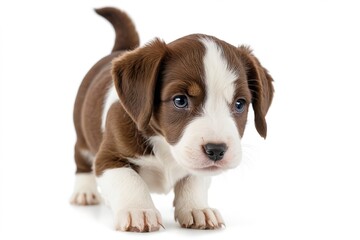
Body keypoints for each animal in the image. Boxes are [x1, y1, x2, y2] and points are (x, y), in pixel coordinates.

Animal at [69, 7, 272, 232]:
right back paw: (85, 191)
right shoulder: (108, 158)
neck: (165, 145)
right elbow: (130, 180)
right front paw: (139, 210)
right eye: (180, 100)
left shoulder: (195, 167)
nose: (217, 150)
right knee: (82, 161)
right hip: (82, 135)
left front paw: (197, 208)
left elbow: (194, 181)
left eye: (239, 104)